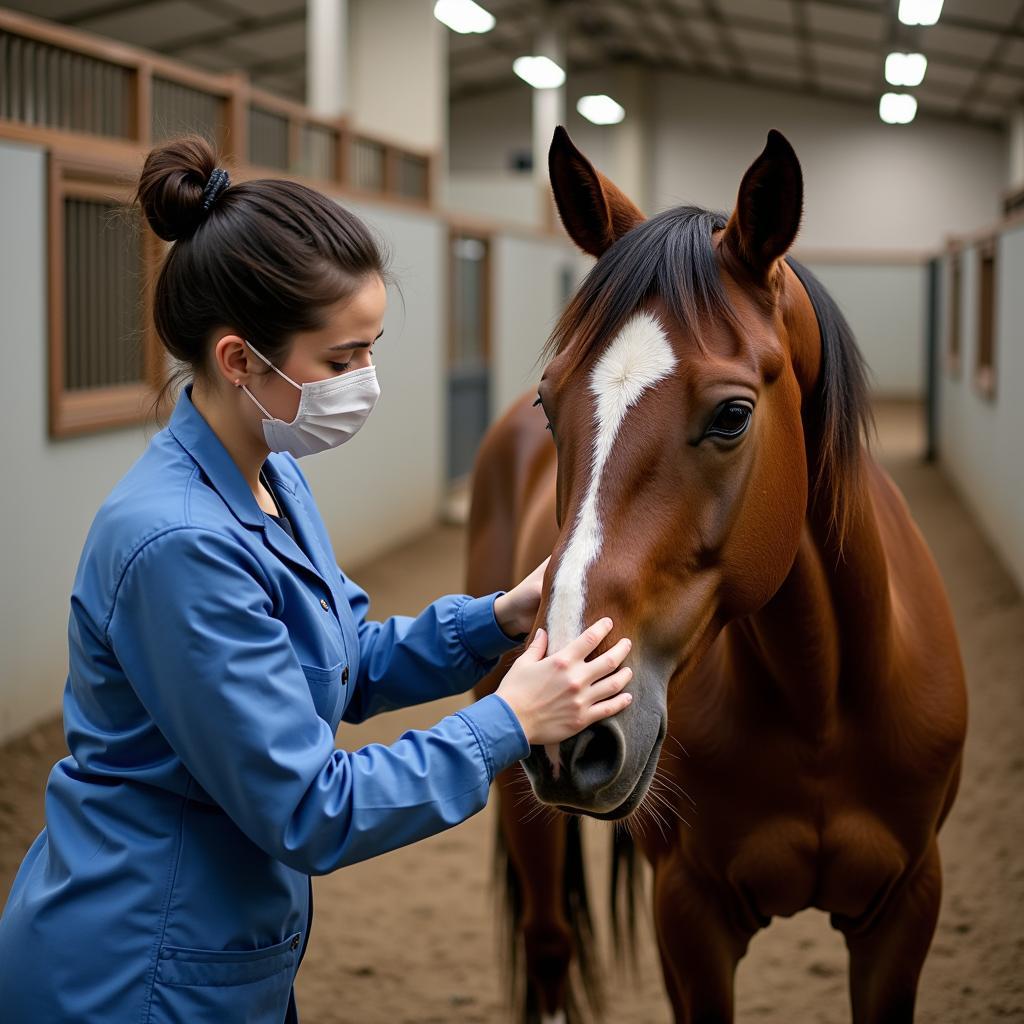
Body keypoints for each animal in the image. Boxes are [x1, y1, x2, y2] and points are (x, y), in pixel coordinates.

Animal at [471, 130, 966, 1024]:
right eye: (547, 405)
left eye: (733, 415)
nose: (570, 730)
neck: (820, 707)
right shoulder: (690, 916)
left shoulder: (907, 906)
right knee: (549, 943)